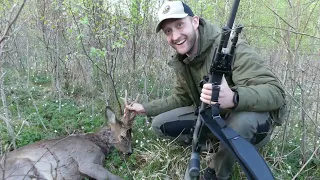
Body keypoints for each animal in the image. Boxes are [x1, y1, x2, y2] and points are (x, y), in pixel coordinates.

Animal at [0, 93, 138, 179]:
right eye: (123, 136)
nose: (130, 152)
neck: (97, 143)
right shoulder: (86, 161)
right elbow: (112, 177)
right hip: (22, 167)